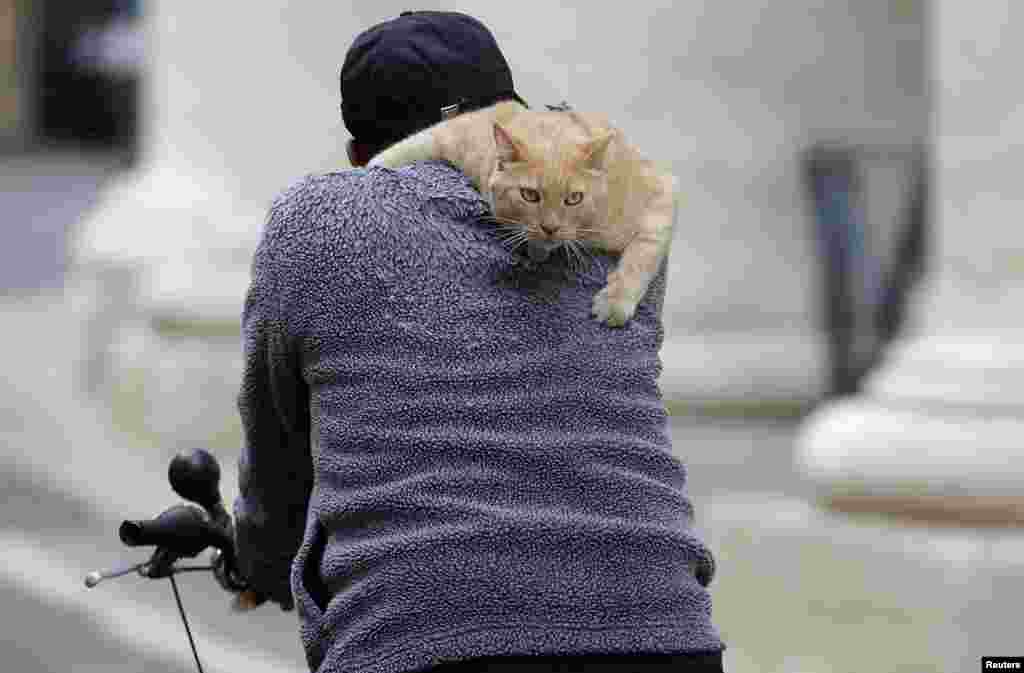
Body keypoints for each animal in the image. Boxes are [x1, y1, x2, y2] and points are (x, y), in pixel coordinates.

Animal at [364, 100, 675, 327]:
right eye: (530, 195)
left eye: (574, 198)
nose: (550, 228)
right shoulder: (453, 134)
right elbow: (397, 151)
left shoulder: (662, 190)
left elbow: (644, 252)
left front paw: (615, 301)